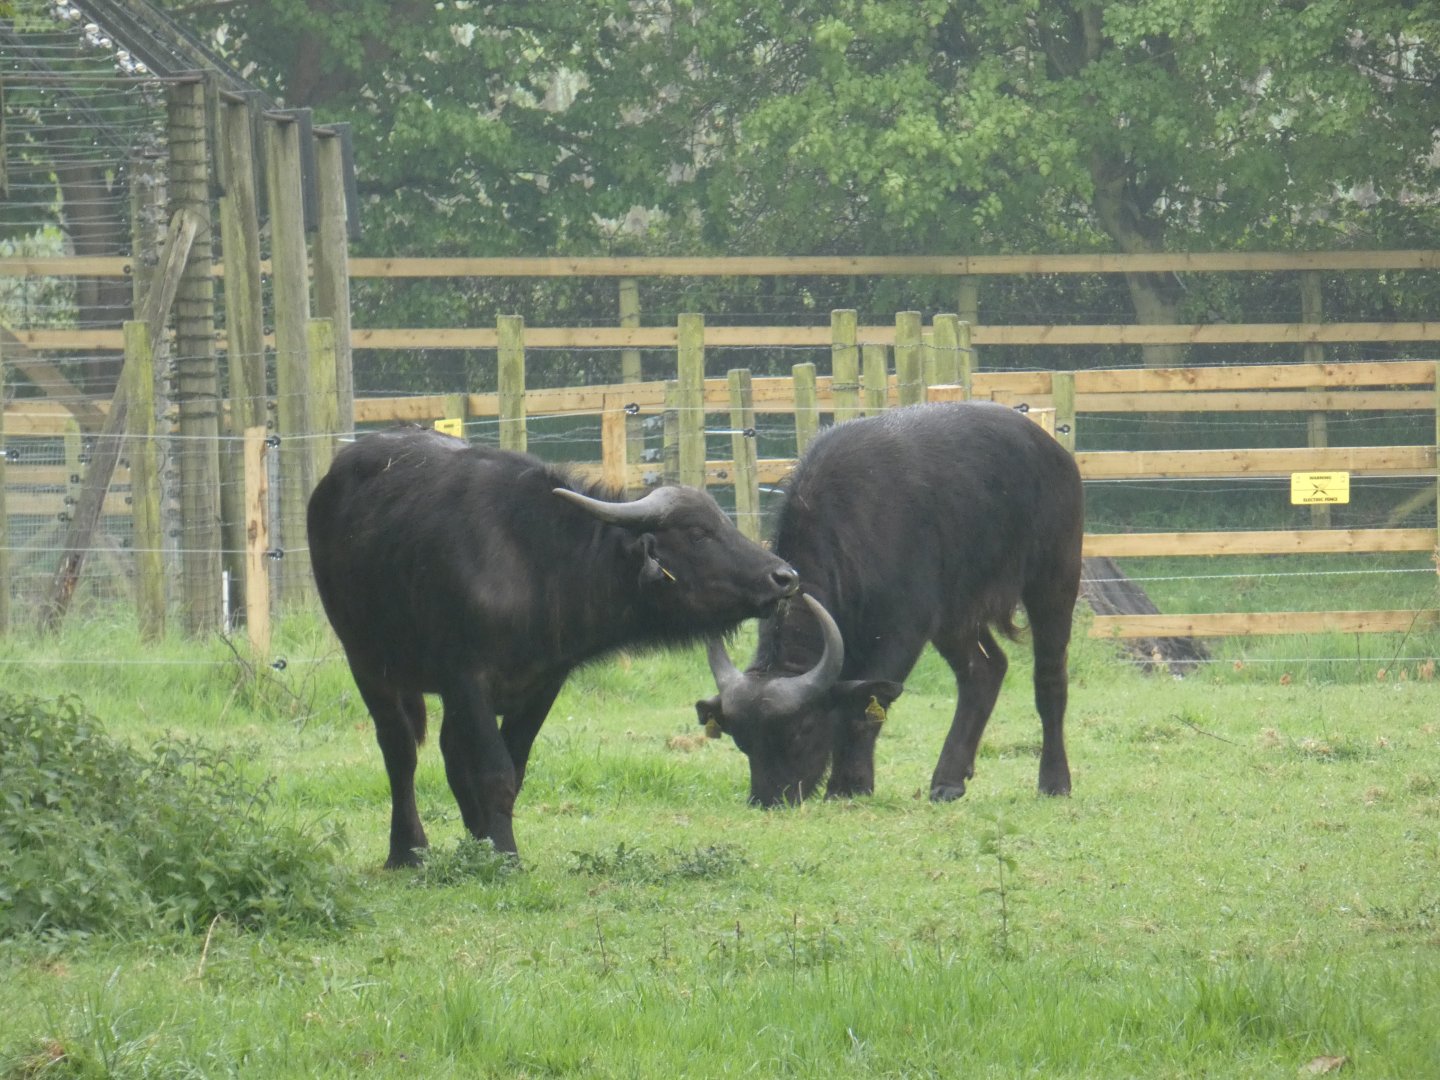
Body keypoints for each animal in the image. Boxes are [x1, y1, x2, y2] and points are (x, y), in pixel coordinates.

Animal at [307, 426, 799, 866]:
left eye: (723, 522)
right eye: (698, 533)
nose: (784, 577)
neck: (537, 564)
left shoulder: (544, 683)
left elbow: (512, 768)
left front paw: (491, 843)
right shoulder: (467, 680)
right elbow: (493, 771)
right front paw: (505, 855)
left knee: (449, 751)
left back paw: (473, 837)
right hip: (367, 664)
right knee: (400, 752)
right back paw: (407, 850)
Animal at [696, 401, 1084, 806]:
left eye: (801, 731)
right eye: (743, 741)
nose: (769, 799)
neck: (850, 528)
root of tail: (1053, 452)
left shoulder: (903, 631)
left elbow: (862, 708)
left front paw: (848, 784)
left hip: (1054, 579)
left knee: (1049, 676)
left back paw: (1054, 780)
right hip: (955, 615)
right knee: (984, 669)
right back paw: (948, 779)